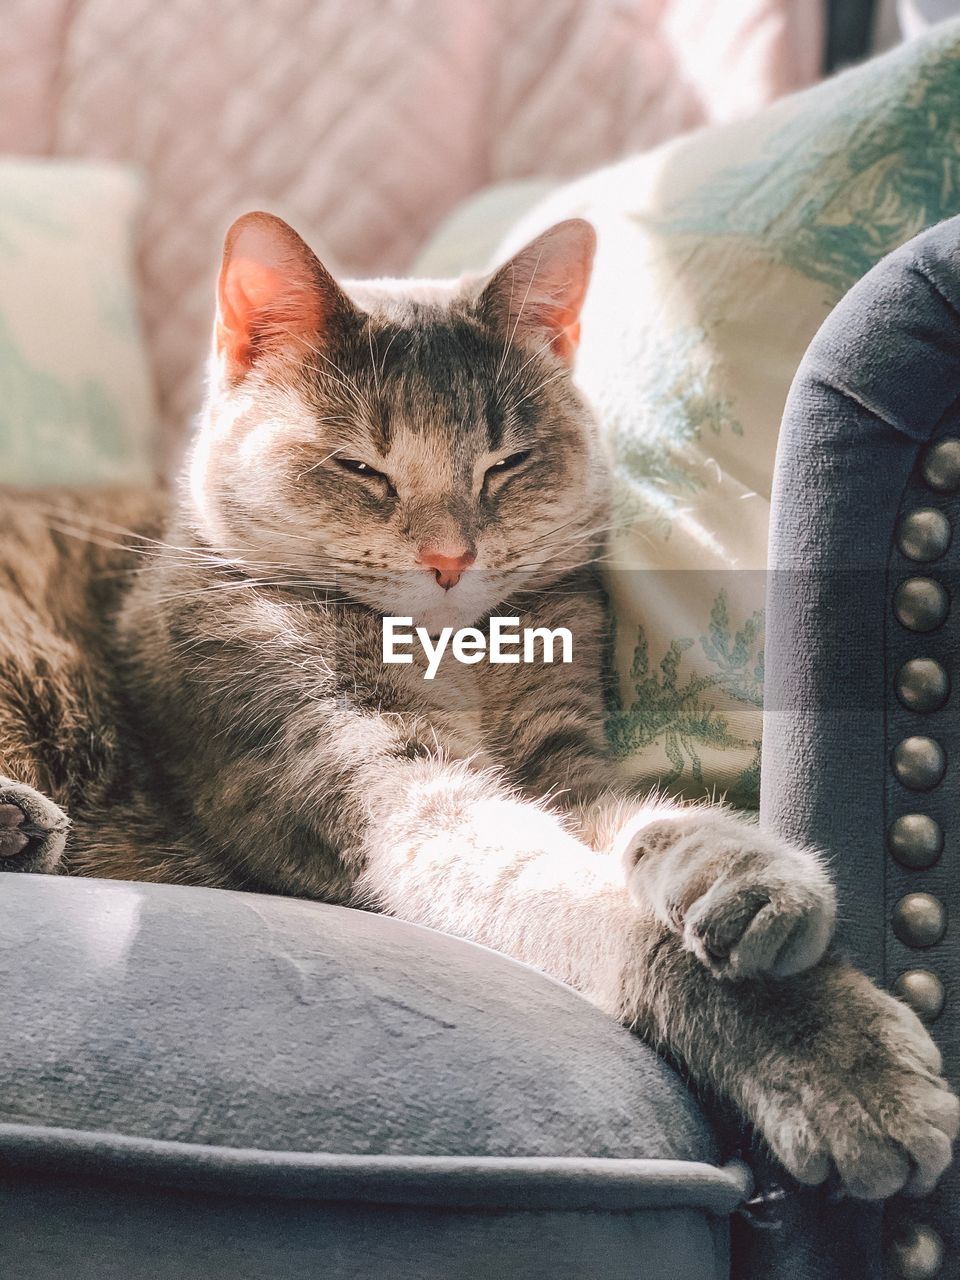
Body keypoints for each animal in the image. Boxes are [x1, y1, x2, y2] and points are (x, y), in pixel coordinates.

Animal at [0, 209, 957, 1198]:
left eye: (507, 464)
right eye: (361, 467)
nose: (450, 559)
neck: (456, 664)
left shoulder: (564, 762)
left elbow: (649, 818)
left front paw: (751, 878)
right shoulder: (380, 785)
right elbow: (583, 903)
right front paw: (843, 1072)